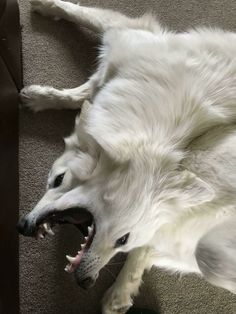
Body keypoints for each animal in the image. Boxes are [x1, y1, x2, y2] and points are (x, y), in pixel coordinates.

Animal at [17, 0, 236, 314]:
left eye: (58, 179)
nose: (86, 283)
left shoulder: (135, 32)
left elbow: (90, 16)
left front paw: (50, 6)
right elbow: (83, 92)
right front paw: (42, 97)